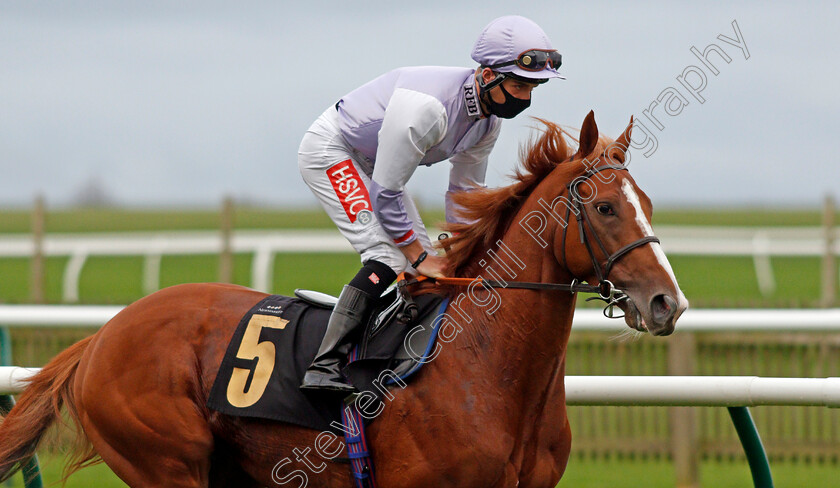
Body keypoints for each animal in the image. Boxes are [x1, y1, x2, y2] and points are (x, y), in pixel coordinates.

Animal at [0, 111, 688, 488]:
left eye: (649, 205)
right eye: (604, 208)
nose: (666, 303)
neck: (485, 365)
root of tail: (101, 336)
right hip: (166, 463)